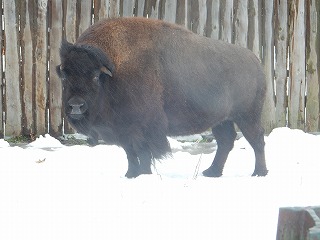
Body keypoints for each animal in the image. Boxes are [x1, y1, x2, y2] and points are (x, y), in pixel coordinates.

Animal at [57, 17, 268, 178]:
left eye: (94, 76)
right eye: (65, 75)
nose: (76, 106)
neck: (113, 71)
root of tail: (256, 62)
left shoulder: (141, 128)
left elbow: (142, 153)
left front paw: (142, 174)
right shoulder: (123, 130)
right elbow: (130, 154)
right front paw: (130, 174)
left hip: (247, 116)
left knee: (256, 139)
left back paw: (259, 173)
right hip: (221, 120)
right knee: (226, 141)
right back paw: (212, 172)